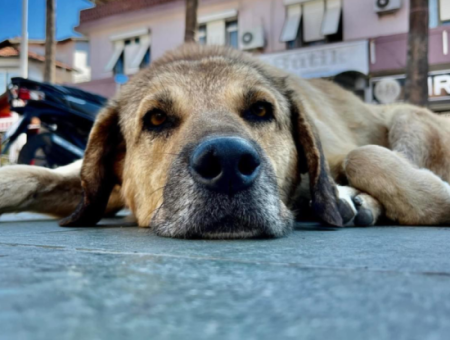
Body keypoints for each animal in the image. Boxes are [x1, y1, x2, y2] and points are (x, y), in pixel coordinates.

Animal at [0, 43, 450, 238]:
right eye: (156, 118)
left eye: (261, 111)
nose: (229, 164)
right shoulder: (96, 187)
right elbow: (27, 175)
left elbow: (364, 155)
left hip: (407, 115)